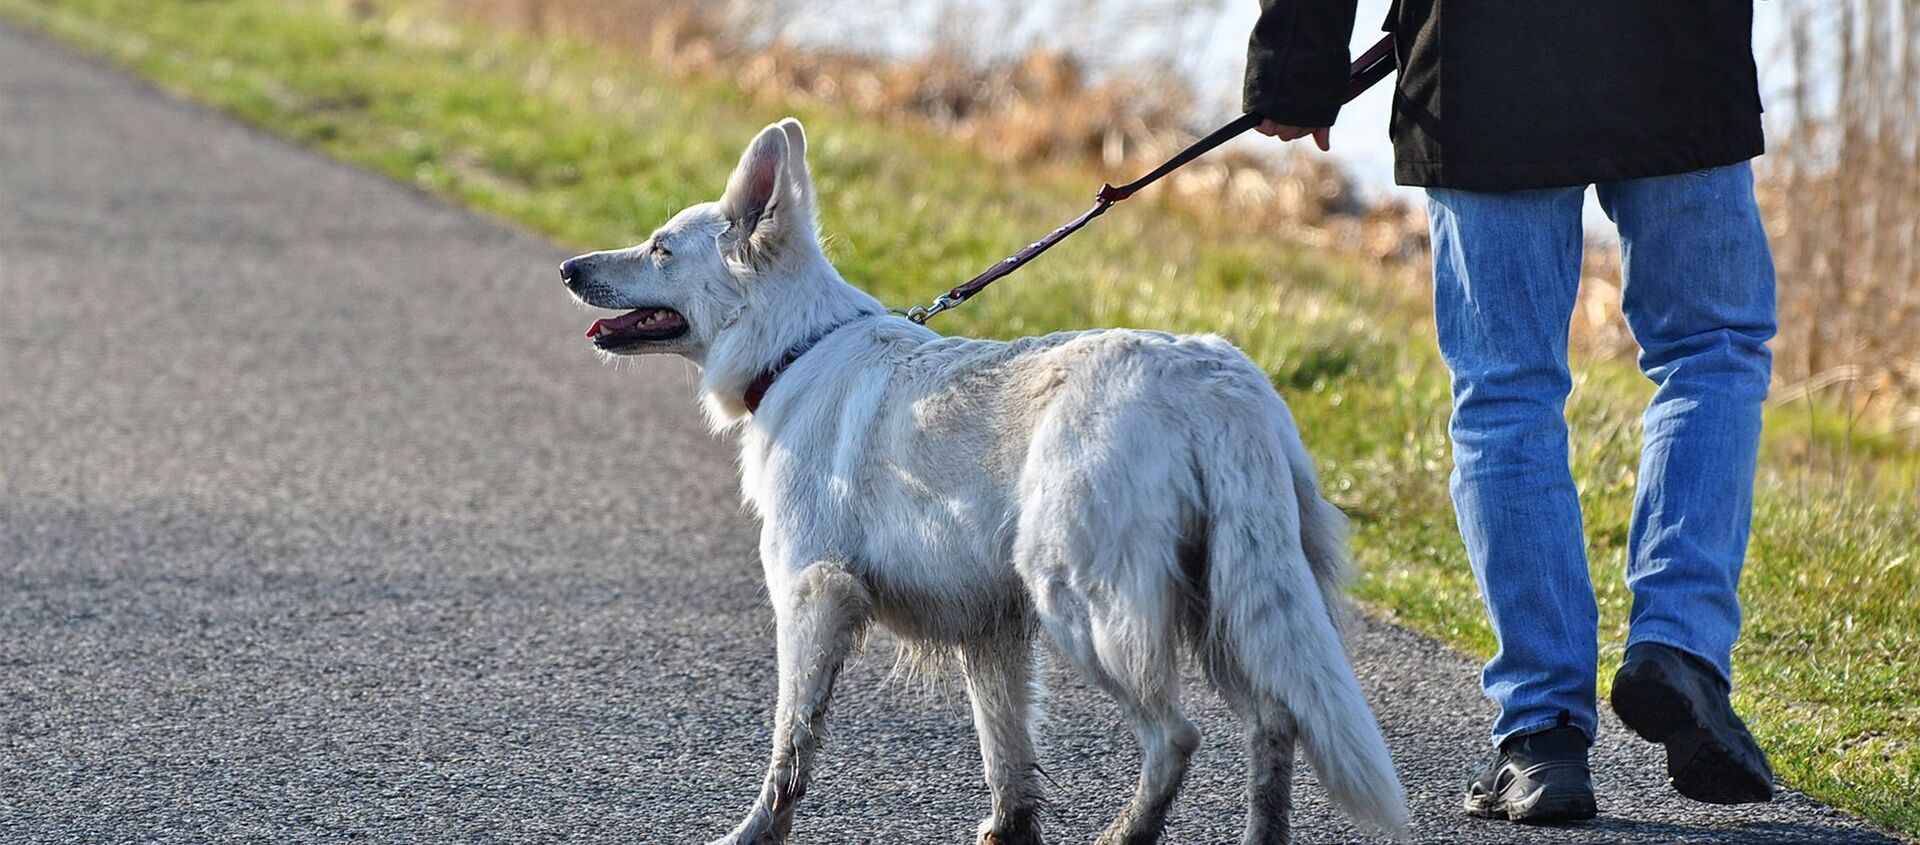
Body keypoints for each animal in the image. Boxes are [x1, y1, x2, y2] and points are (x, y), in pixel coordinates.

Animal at [560, 119, 1405, 845]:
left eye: (660, 248)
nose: (569, 268)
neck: (796, 347)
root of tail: (1215, 381)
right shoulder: (990, 630)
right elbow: (1007, 753)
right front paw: (1011, 828)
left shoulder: (812, 595)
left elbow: (791, 745)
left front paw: (756, 831)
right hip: (1227, 603)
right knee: (1274, 721)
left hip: (1086, 605)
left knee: (1176, 735)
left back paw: (1126, 831)